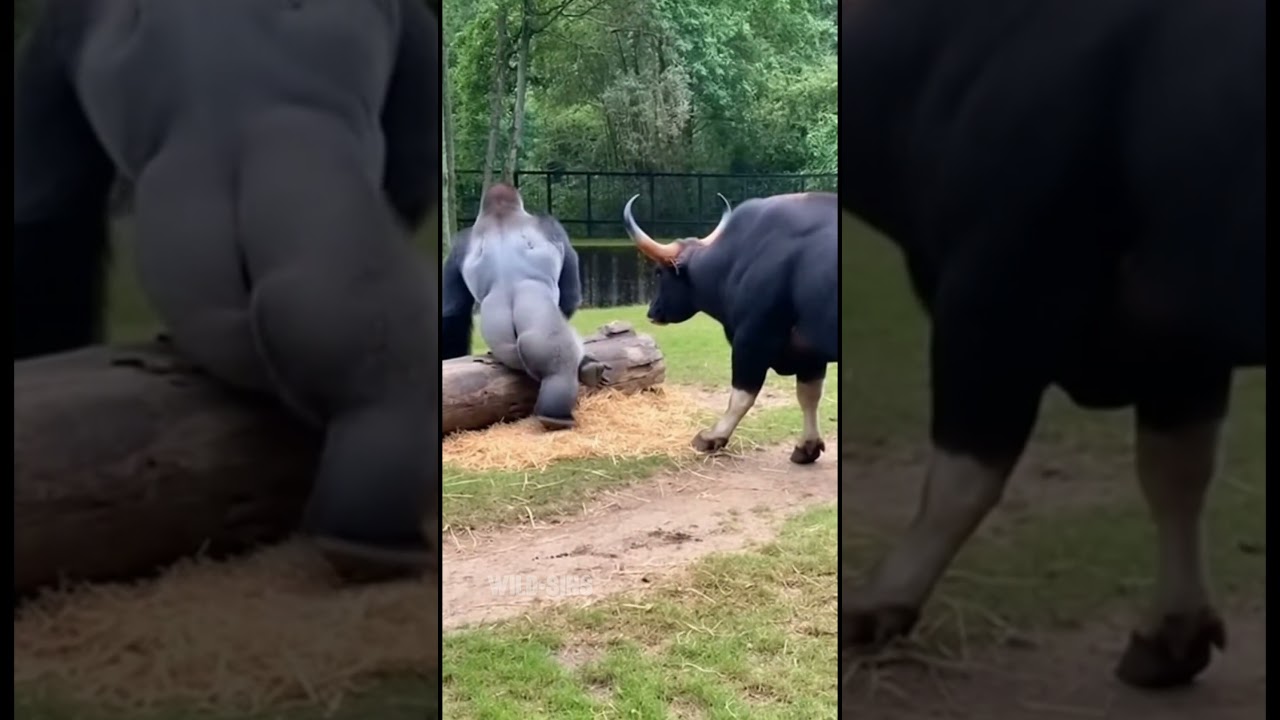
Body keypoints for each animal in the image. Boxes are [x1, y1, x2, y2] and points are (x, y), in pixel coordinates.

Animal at [441, 183, 604, 429]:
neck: (502, 214)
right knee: (560, 364)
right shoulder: (552, 225)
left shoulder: (457, 247)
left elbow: (452, 311)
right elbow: (569, 296)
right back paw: (556, 415)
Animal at [623, 192, 839, 463]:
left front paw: (711, 437)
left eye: (659, 272)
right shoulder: (809, 352)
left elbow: (741, 396)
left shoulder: (752, 339)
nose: (652, 311)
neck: (737, 259)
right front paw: (807, 447)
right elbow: (809, 396)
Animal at [839, 0, 1265, 690]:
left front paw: (876, 603)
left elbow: (962, 477)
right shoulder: (1181, 342)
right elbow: (1178, 473)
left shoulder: (995, 293)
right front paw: (1172, 635)